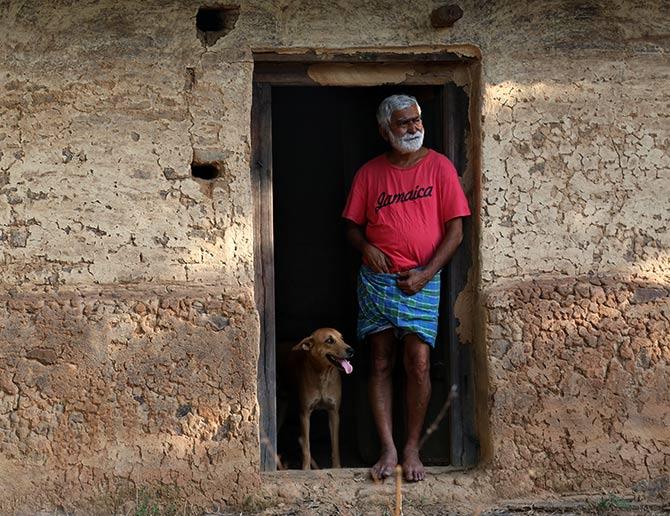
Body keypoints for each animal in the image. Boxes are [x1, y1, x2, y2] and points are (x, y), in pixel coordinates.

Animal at [290, 328, 356, 470]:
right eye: (329, 340)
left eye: (342, 338)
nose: (351, 350)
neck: (323, 375)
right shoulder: (304, 414)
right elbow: (306, 447)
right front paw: (305, 469)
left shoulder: (334, 413)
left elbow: (335, 445)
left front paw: (337, 467)